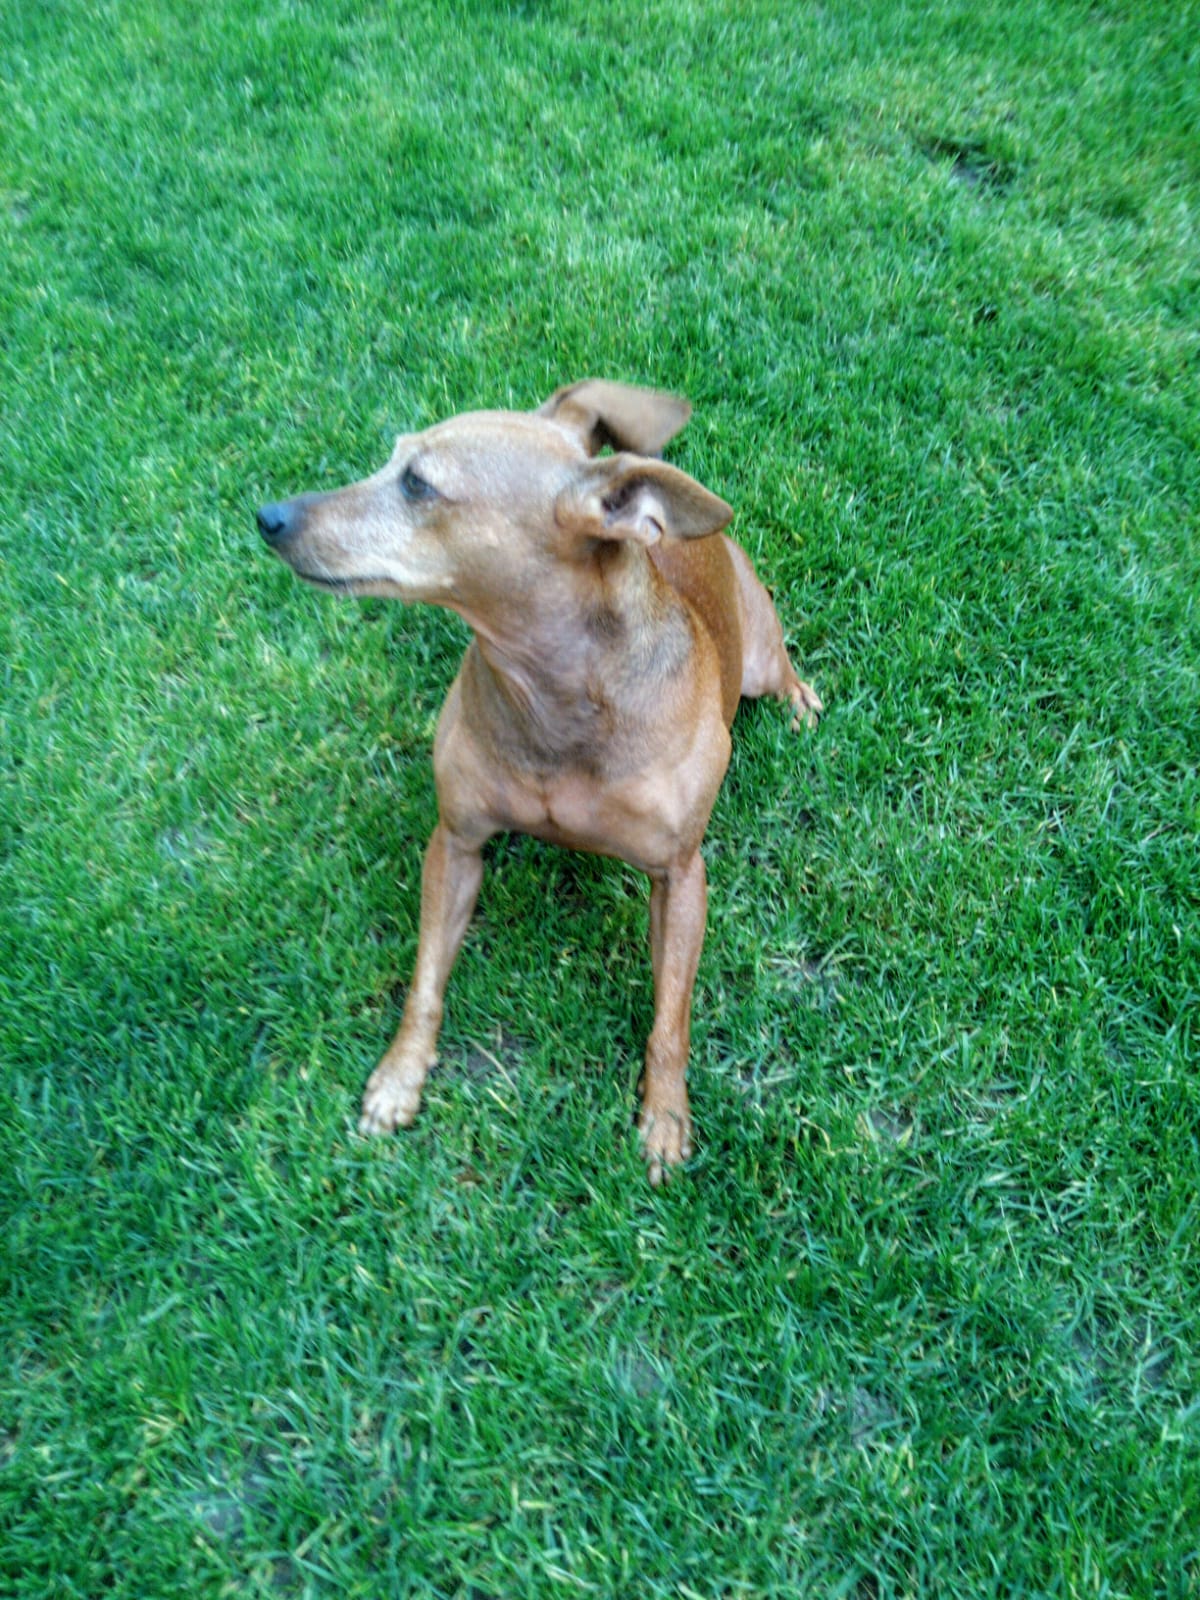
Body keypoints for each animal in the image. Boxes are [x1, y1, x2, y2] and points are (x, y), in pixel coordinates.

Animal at [258, 380, 821, 1181]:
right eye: (393, 459)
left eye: (418, 484)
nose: (269, 517)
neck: (555, 693)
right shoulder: (456, 843)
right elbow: (424, 984)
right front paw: (400, 1077)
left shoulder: (681, 877)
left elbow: (670, 1018)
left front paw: (665, 1119)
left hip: (761, 658)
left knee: (783, 670)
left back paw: (803, 702)